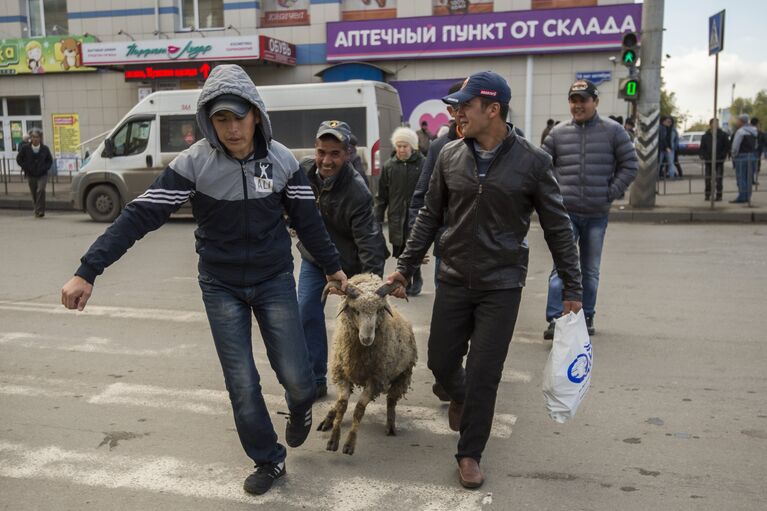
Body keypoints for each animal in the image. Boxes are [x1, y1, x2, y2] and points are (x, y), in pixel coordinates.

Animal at [316, 274, 416, 458]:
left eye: (378, 310)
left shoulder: (375, 381)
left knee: (391, 400)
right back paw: (328, 419)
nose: (367, 338)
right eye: (356, 311)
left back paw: (391, 425)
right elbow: (342, 404)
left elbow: (359, 409)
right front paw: (333, 440)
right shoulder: (342, 374)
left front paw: (349, 444)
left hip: (403, 375)